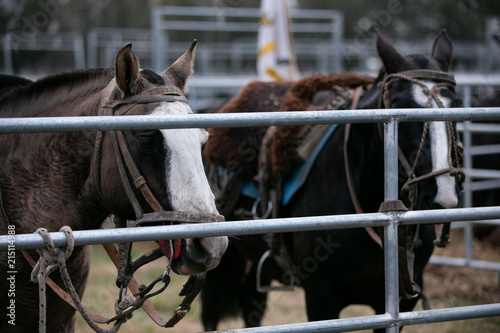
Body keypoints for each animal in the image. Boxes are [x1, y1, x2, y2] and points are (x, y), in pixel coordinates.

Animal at [200, 29, 464, 330]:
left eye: (458, 105)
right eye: (399, 105)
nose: (442, 194)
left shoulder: (399, 304)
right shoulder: (321, 299)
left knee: (251, 306)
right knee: (211, 312)